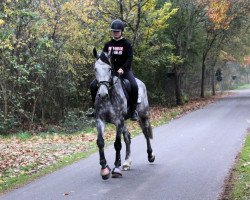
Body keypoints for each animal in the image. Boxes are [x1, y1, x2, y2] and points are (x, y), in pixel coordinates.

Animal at [92, 48, 154, 180]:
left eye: (109, 69)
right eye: (95, 69)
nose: (103, 94)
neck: (109, 96)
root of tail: (141, 83)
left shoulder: (118, 121)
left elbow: (117, 144)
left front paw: (116, 168)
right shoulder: (100, 120)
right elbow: (100, 142)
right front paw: (104, 169)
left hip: (143, 116)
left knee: (146, 133)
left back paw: (150, 155)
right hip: (124, 122)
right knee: (127, 137)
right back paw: (126, 162)